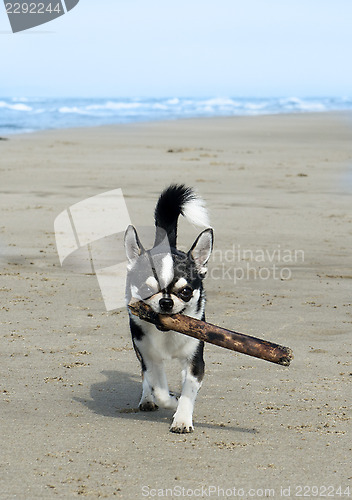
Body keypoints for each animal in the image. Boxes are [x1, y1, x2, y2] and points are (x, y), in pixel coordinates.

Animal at [125, 186, 213, 432]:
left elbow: (189, 389)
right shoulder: (150, 357)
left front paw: (182, 418)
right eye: (146, 289)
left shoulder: (195, 361)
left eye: (185, 292)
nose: (166, 302)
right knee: (146, 378)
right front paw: (171, 401)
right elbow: (160, 389)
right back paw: (147, 399)